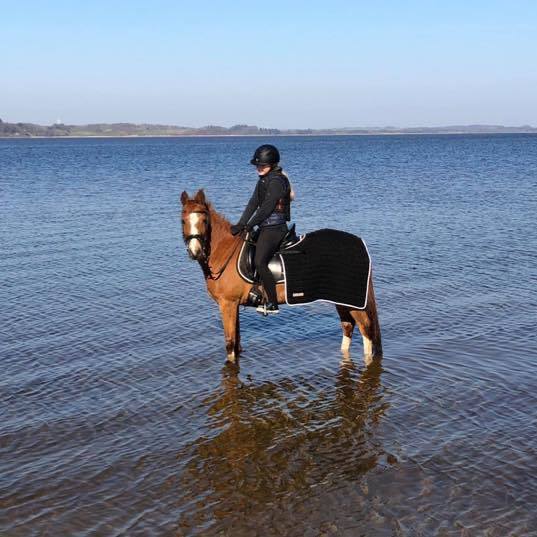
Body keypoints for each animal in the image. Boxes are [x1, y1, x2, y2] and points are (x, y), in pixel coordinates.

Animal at [180, 189, 382, 364]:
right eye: (183, 220)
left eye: (204, 220)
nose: (195, 252)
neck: (226, 251)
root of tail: (359, 244)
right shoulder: (233, 306)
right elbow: (236, 344)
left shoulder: (227, 304)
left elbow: (230, 346)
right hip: (341, 299)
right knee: (348, 327)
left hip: (352, 300)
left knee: (366, 330)